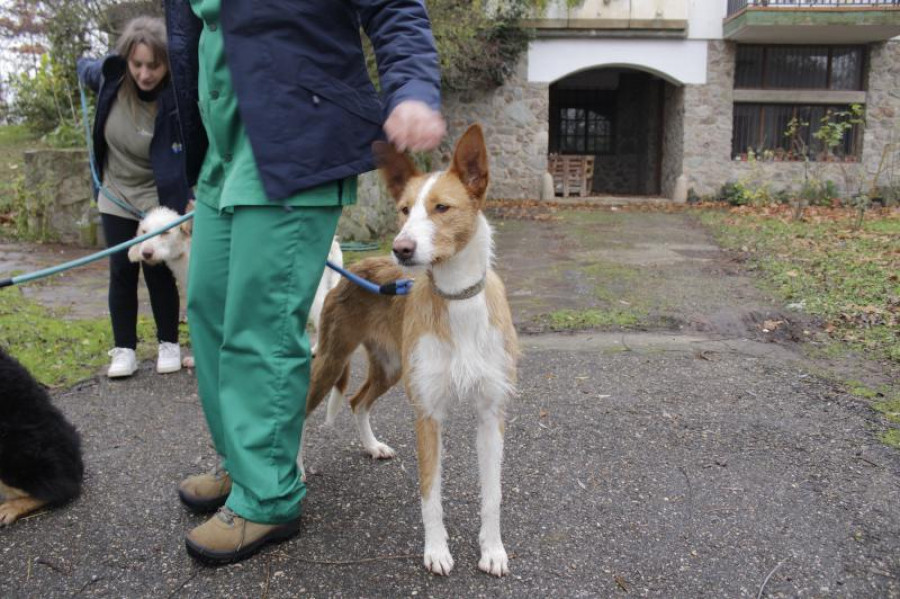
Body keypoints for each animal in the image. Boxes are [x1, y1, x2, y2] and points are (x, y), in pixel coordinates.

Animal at [302, 125, 516, 576]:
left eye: (441, 207)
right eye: (403, 210)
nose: (401, 248)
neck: (457, 299)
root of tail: (356, 270)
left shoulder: (491, 413)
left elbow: (493, 495)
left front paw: (492, 550)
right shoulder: (428, 413)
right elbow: (430, 493)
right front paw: (436, 550)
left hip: (391, 367)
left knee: (358, 401)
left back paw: (372, 446)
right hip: (330, 360)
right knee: (298, 415)